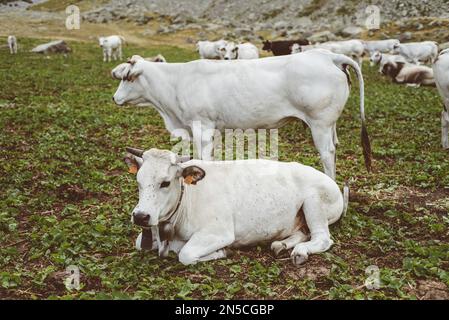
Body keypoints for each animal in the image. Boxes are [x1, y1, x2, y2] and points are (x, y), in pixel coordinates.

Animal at [110, 50, 370, 180]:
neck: (175, 83)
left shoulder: (202, 127)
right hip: (329, 125)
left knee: (327, 154)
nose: (114, 98)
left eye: (127, 77)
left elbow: (202, 159)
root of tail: (328, 56)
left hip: (319, 124)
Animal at [123, 148, 350, 264]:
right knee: (303, 232)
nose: (141, 216)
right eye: (138, 180)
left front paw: (223, 252)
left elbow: (185, 254)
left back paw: (300, 252)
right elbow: (139, 243)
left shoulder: (219, 232)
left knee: (322, 238)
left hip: (314, 203)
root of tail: (334, 184)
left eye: (165, 182)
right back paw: (281, 245)